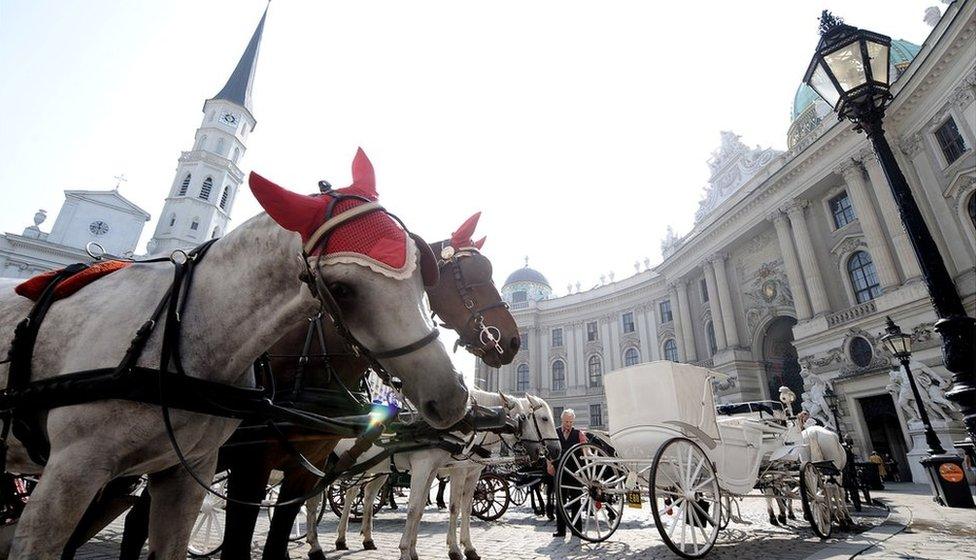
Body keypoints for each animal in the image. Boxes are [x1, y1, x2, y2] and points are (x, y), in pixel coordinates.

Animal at [308, 392, 560, 560]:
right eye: (542, 419)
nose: (554, 451)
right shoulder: (441, 469)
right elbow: (434, 508)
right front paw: (444, 550)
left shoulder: (462, 472)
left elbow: (449, 509)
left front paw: (464, 548)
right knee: (325, 499)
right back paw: (318, 543)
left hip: (377, 468)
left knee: (365, 496)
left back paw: (361, 539)